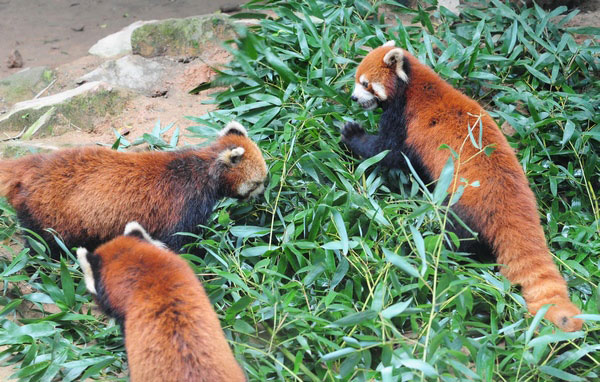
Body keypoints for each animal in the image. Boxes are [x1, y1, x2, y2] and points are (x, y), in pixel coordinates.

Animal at [0, 121, 268, 255]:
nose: (264, 193)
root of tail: (30, 165)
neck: (204, 169)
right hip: (49, 214)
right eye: (259, 182)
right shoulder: (182, 205)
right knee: (45, 243)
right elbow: (177, 241)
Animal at [340, 39, 584, 332]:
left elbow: (386, 152)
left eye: (365, 84)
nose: (354, 98)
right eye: (357, 80)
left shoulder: (403, 123)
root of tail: (513, 198)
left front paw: (352, 135)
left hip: (463, 207)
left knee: (456, 237)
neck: (411, 86)